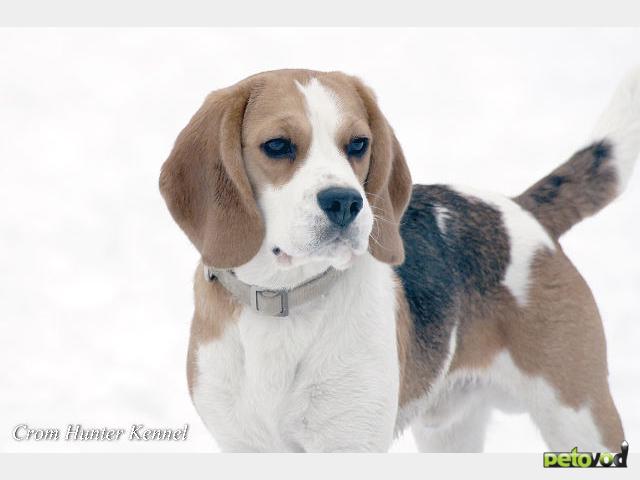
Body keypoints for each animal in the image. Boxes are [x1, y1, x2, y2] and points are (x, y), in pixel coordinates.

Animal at [160, 69, 640, 452]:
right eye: (277, 145)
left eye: (358, 144)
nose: (345, 202)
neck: (283, 300)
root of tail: (520, 210)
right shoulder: (244, 445)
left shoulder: (348, 444)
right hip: (450, 435)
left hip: (580, 414)